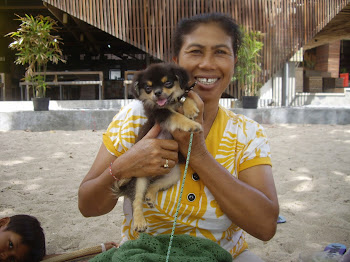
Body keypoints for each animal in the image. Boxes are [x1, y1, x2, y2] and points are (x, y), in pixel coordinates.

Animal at [112, 62, 200, 232]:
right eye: (148, 88)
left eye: (168, 83)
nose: (157, 93)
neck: (170, 103)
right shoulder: (159, 113)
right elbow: (175, 116)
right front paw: (191, 125)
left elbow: (186, 97)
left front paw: (191, 109)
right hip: (139, 178)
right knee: (136, 200)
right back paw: (140, 222)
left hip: (173, 175)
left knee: (153, 186)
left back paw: (150, 196)